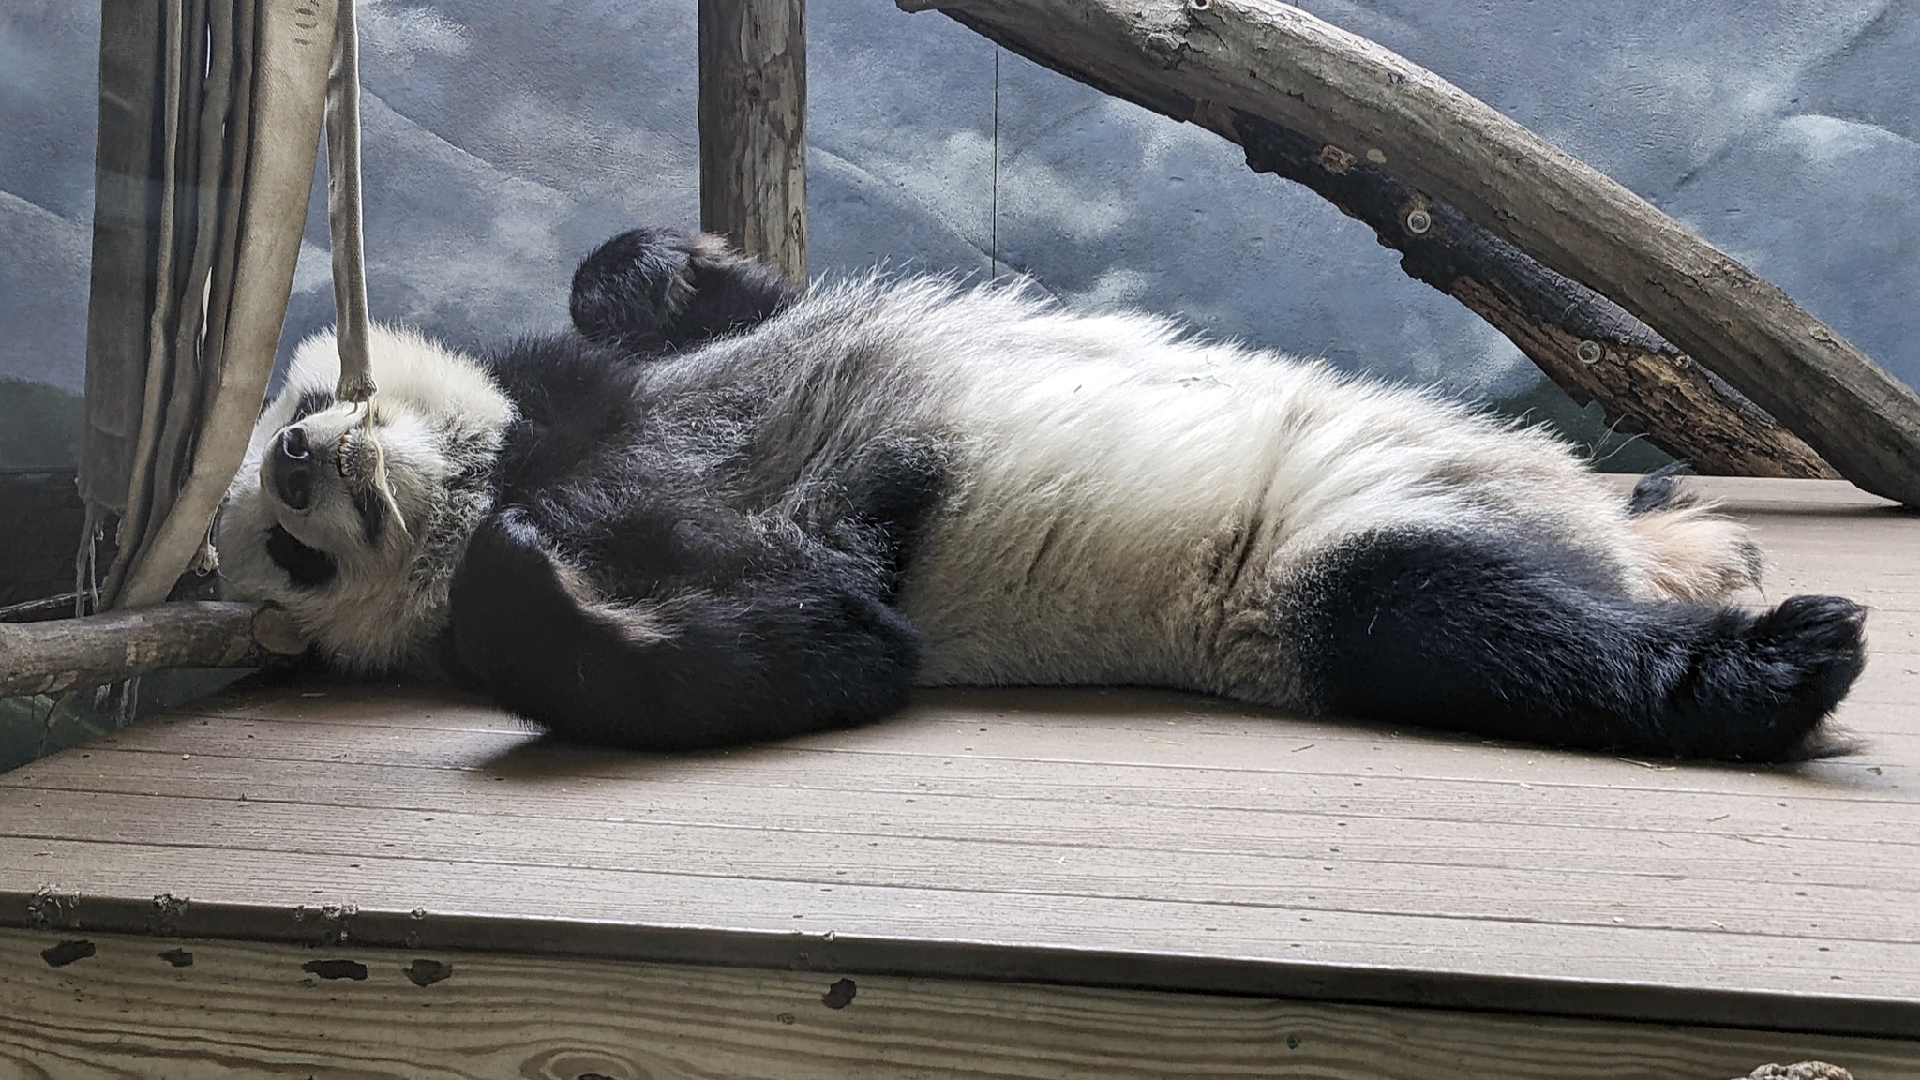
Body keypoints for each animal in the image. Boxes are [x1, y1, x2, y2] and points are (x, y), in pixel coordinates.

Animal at [217, 226, 1866, 757]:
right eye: (293, 565)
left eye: (294, 405)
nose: (300, 463)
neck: (531, 463)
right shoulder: (679, 534)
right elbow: (827, 647)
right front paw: (521, 574)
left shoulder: (606, 399)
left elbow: (698, 312)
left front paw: (661, 268)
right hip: (1311, 570)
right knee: (1473, 628)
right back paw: (1769, 662)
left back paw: (1687, 530)